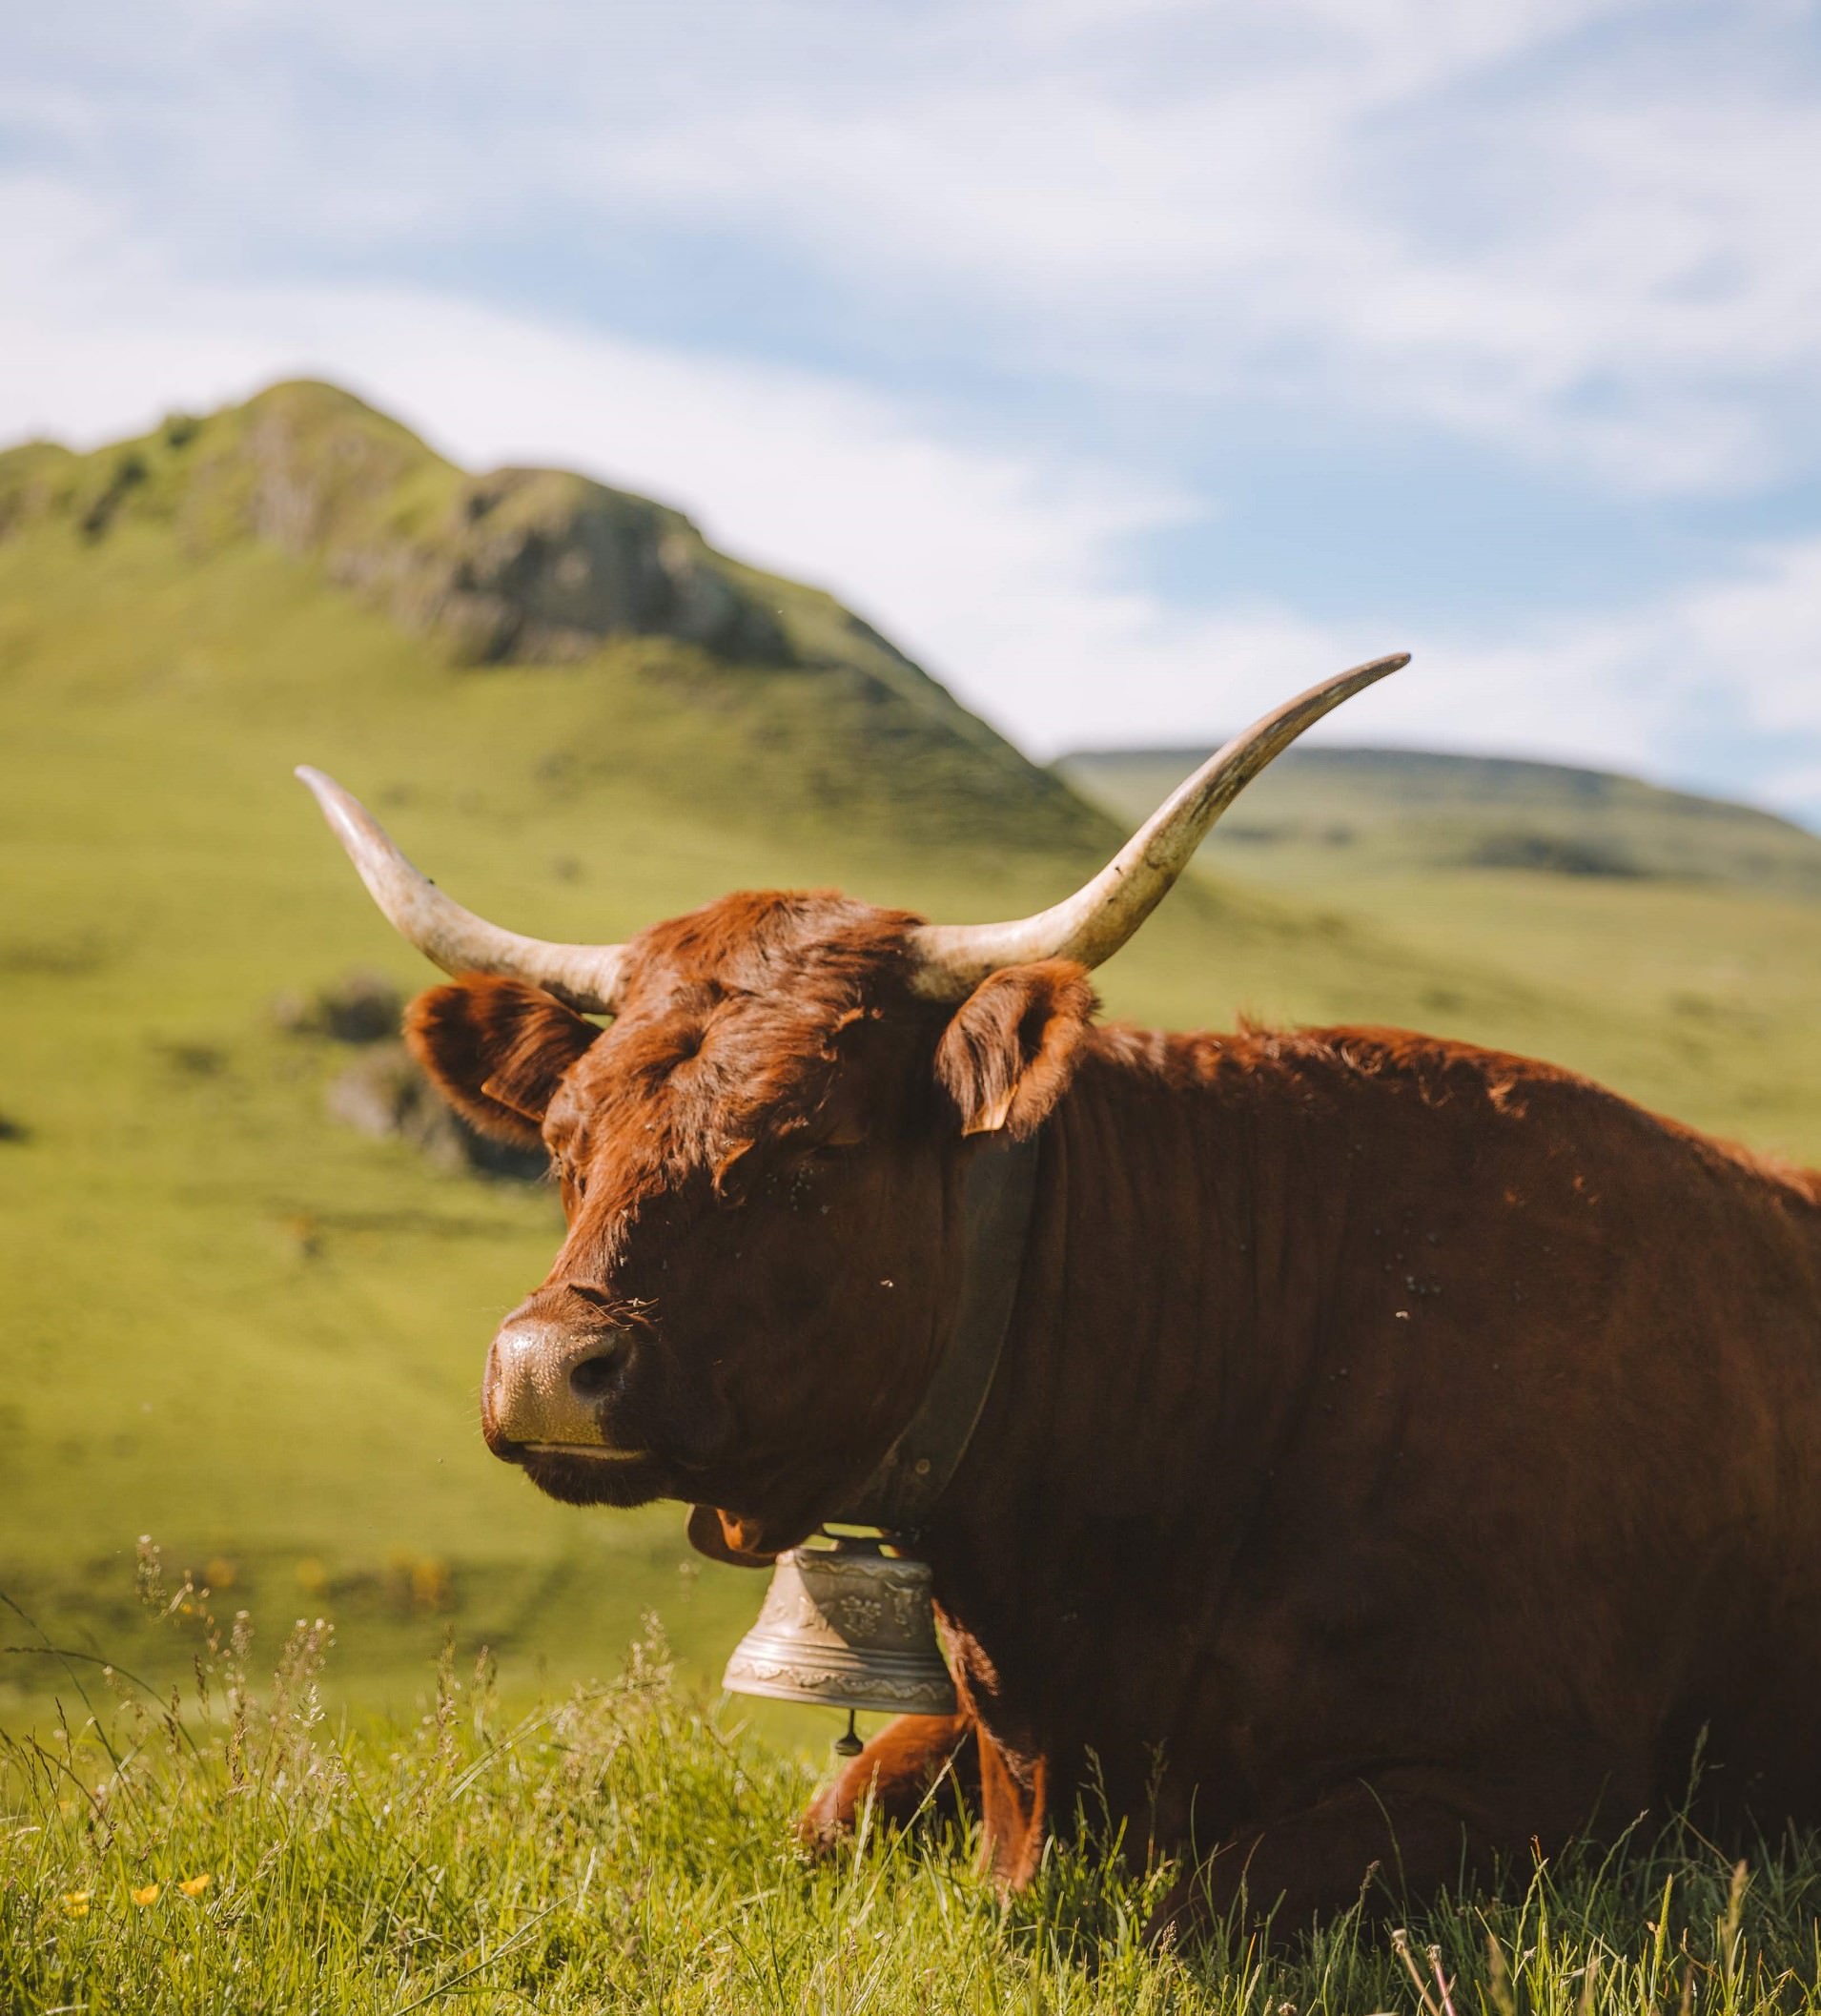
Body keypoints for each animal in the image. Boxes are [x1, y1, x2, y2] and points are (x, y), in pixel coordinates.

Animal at [298, 655, 1821, 1938]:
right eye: (562, 1143)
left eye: (810, 1144)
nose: (547, 1366)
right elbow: (832, 1810)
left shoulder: (1544, 1778)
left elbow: (1179, 1910)